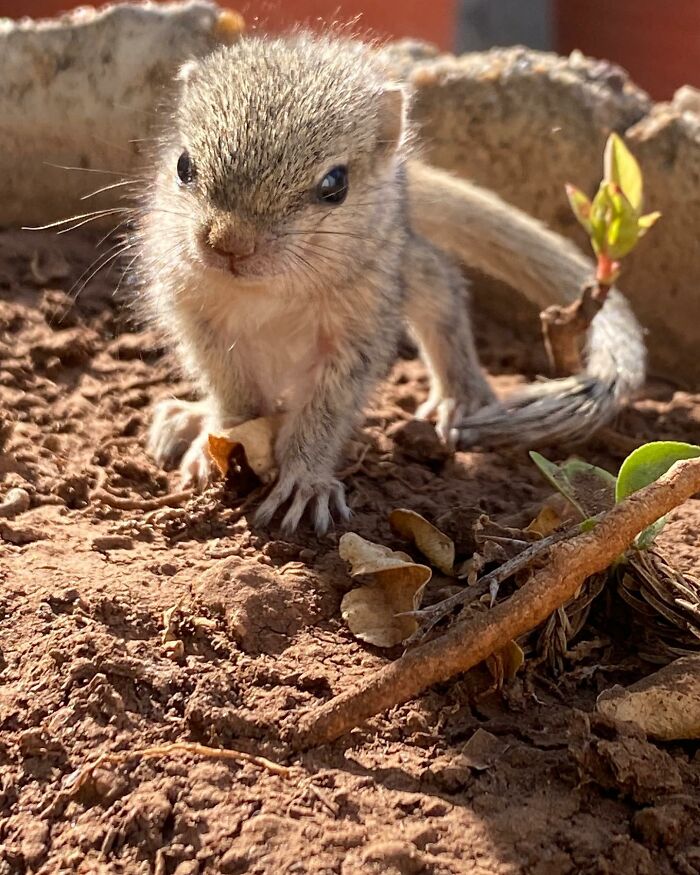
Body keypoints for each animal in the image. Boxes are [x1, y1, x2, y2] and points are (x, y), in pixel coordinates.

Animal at [136, 33, 646, 534]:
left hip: (411, 270)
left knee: (444, 297)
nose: (229, 244)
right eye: (183, 165)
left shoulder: (358, 331)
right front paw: (219, 443)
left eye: (335, 184)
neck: (267, 291)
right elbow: (232, 395)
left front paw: (305, 481)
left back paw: (457, 399)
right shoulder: (196, 316)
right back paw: (186, 419)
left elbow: (326, 412)